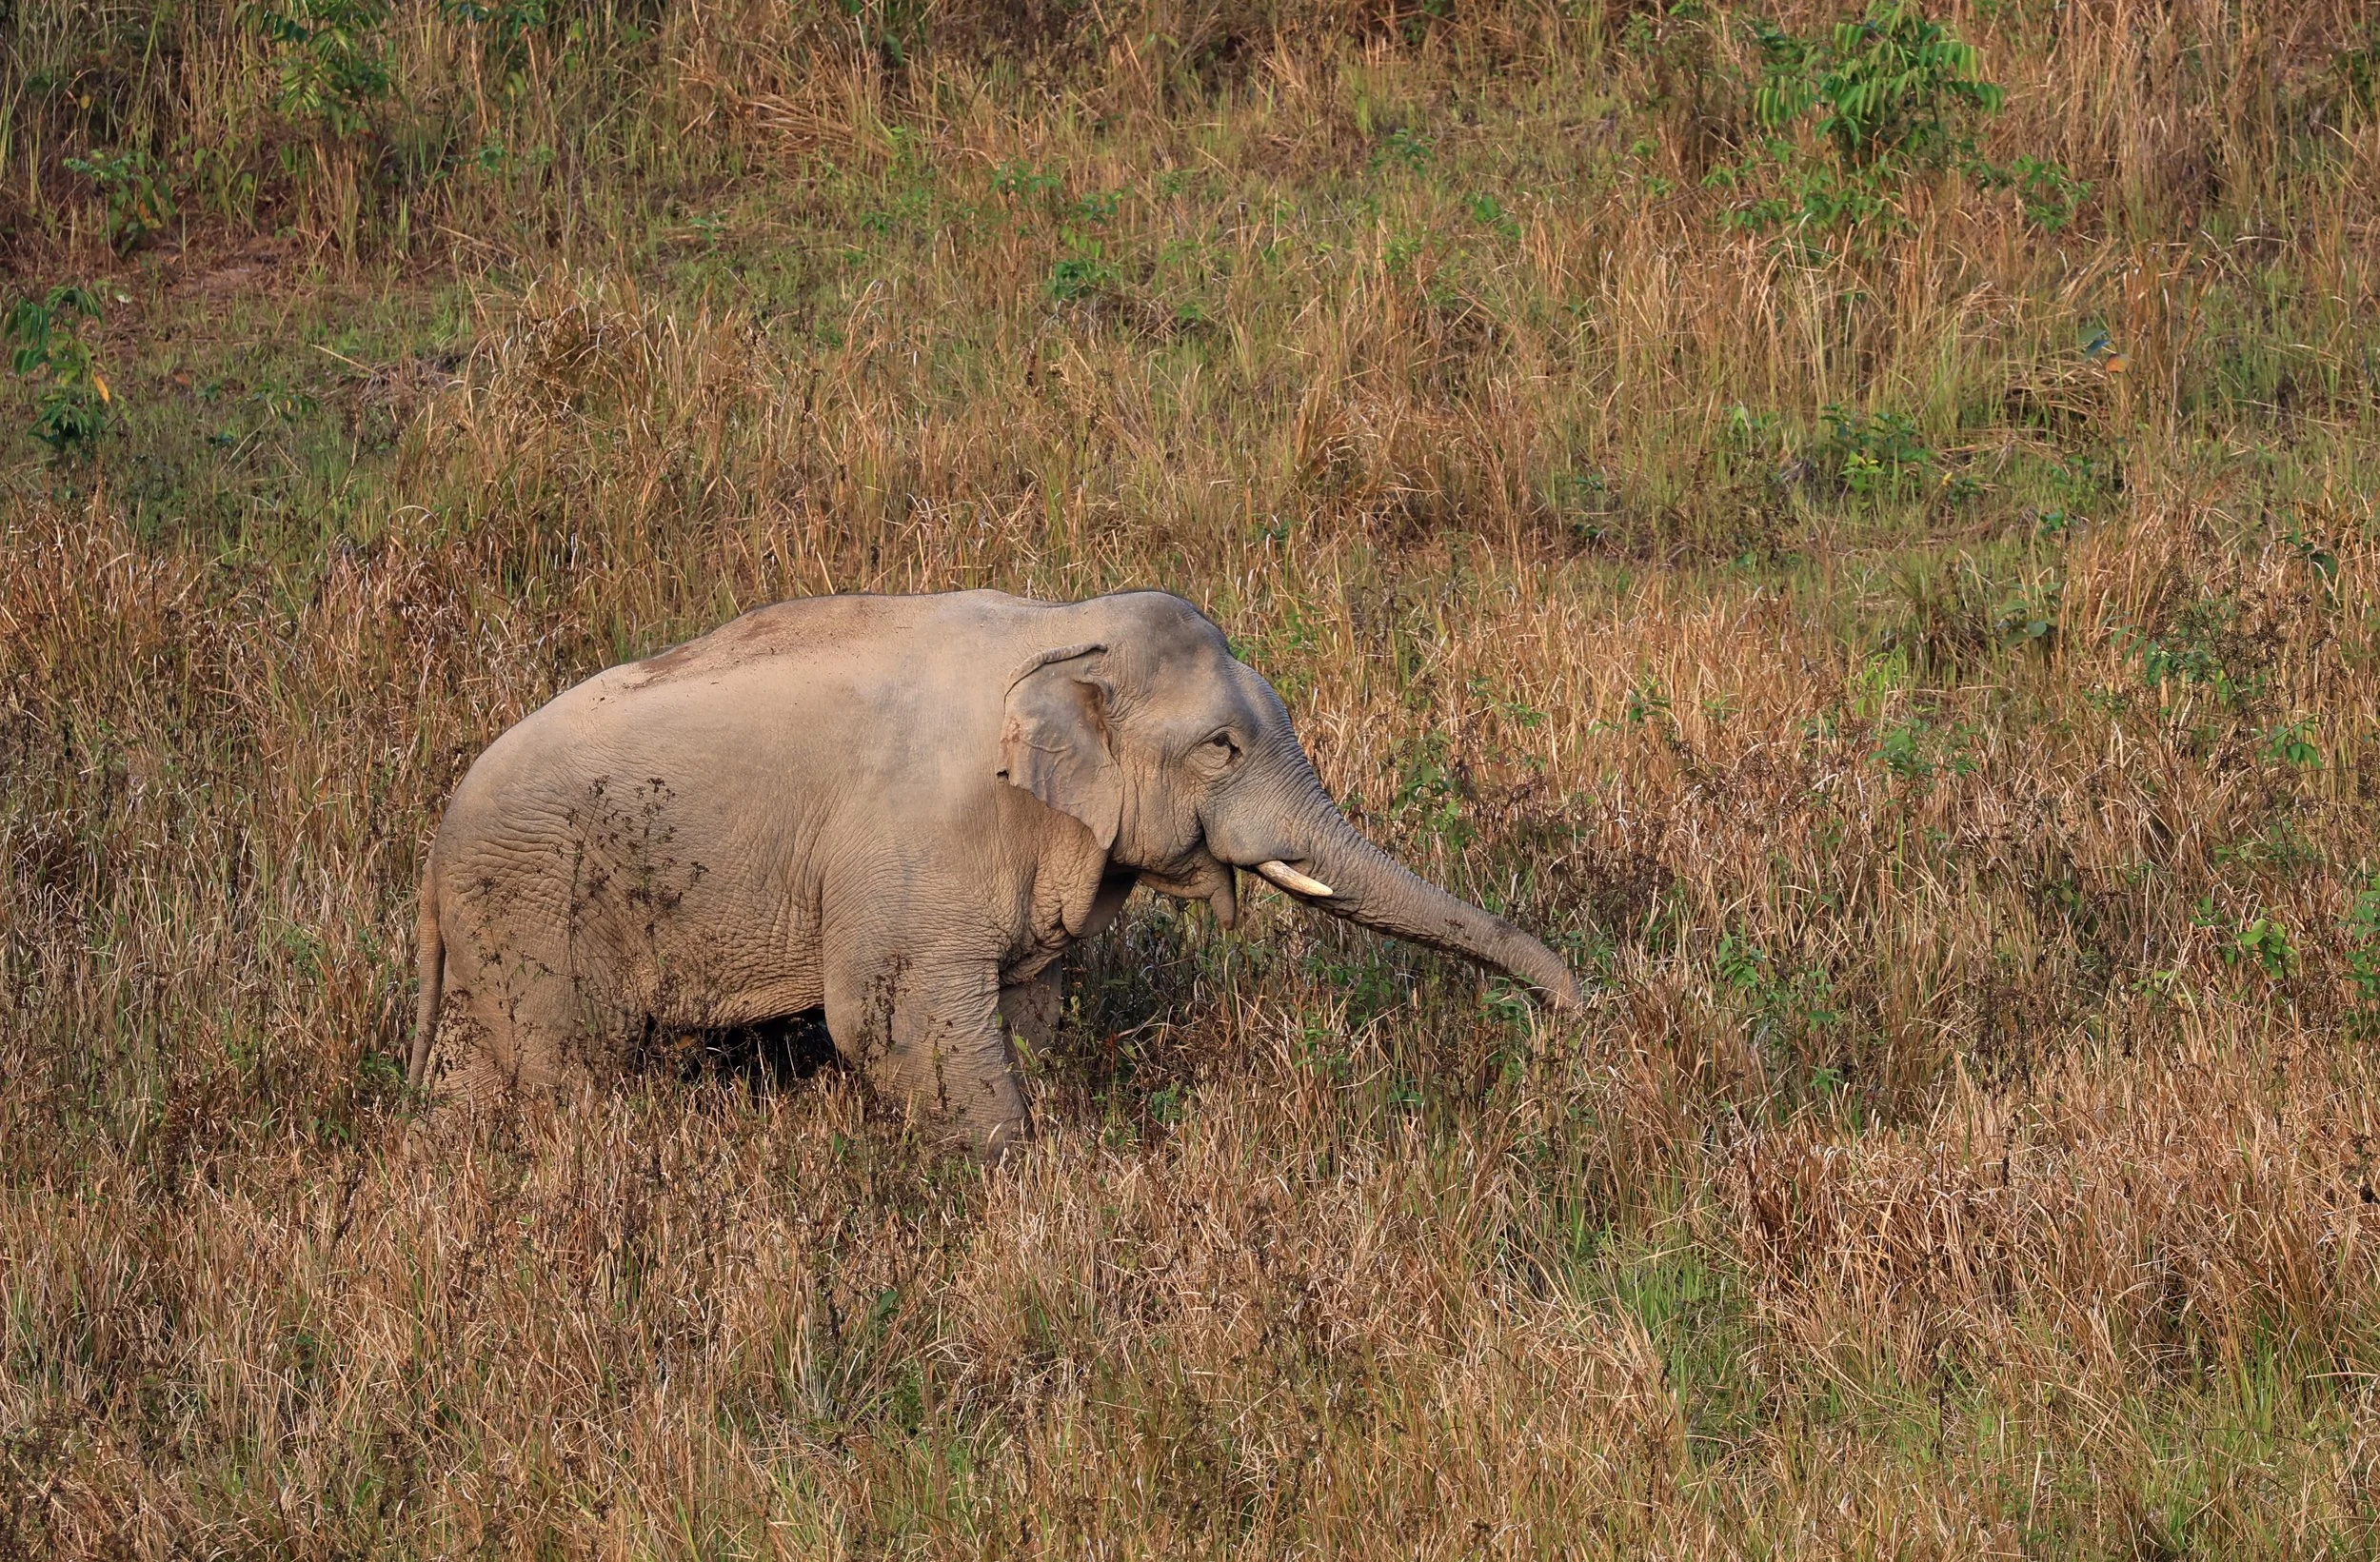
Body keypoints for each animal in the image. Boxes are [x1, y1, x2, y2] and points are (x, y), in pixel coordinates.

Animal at [409, 590, 1581, 1152]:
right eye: (1222, 748)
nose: (1578, 1011)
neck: (1059, 627)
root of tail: (433, 850)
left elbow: (1026, 1005)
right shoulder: (917, 843)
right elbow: (890, 1023)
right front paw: (1021, 1181)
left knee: (477, 1079)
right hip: (538, 912)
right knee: (568, 1074)